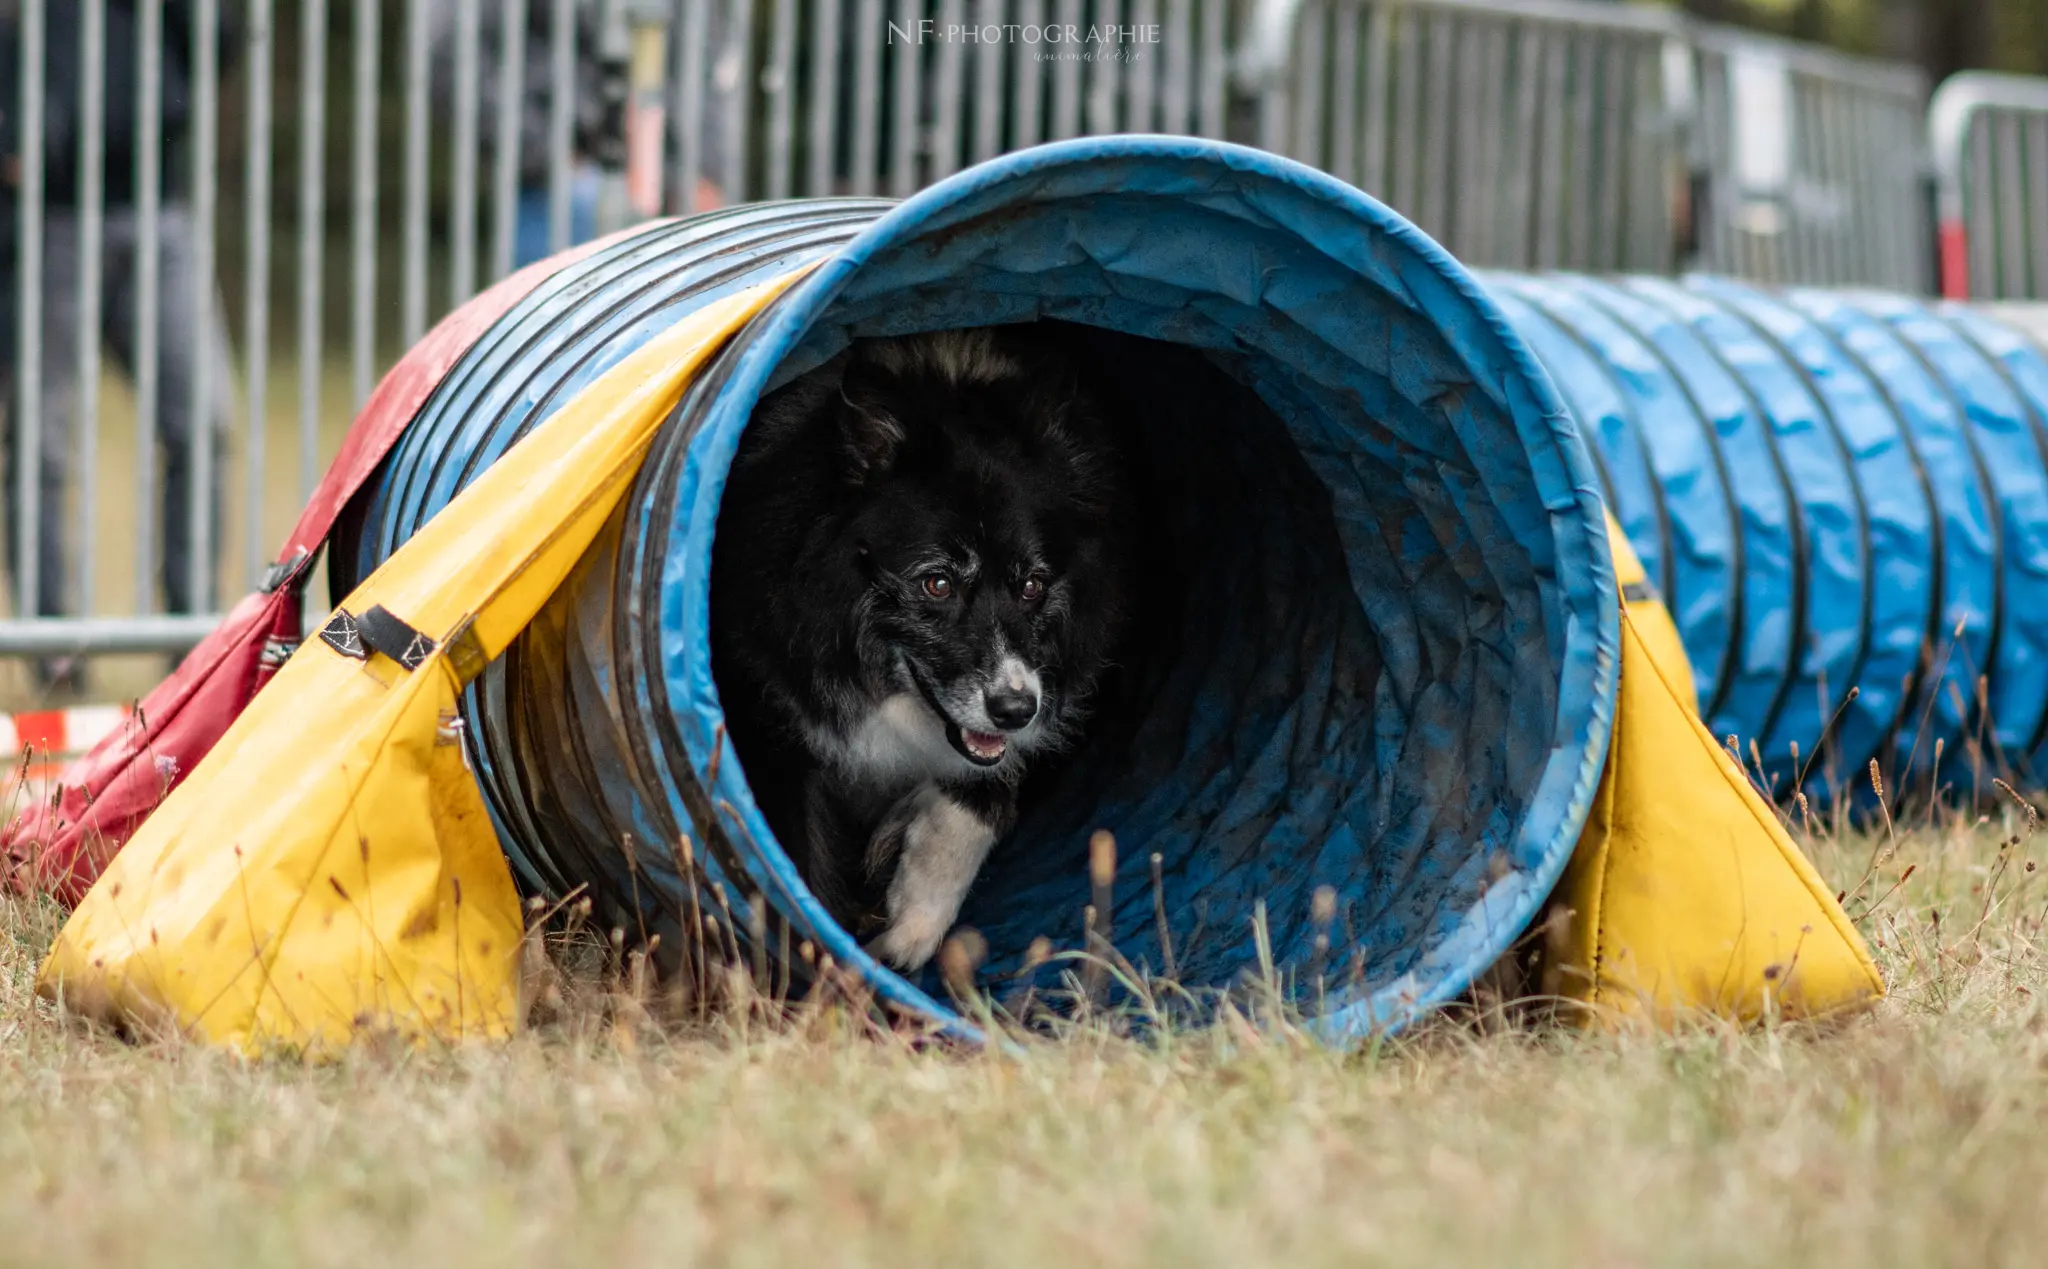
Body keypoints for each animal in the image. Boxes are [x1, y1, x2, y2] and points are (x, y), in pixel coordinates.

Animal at [712, 321, 1138, 966]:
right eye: (936, 583)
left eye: (1033, 586)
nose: (1015, 710)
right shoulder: (764, 712)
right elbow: (795, 860)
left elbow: (982, 796)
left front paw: (912, 924)